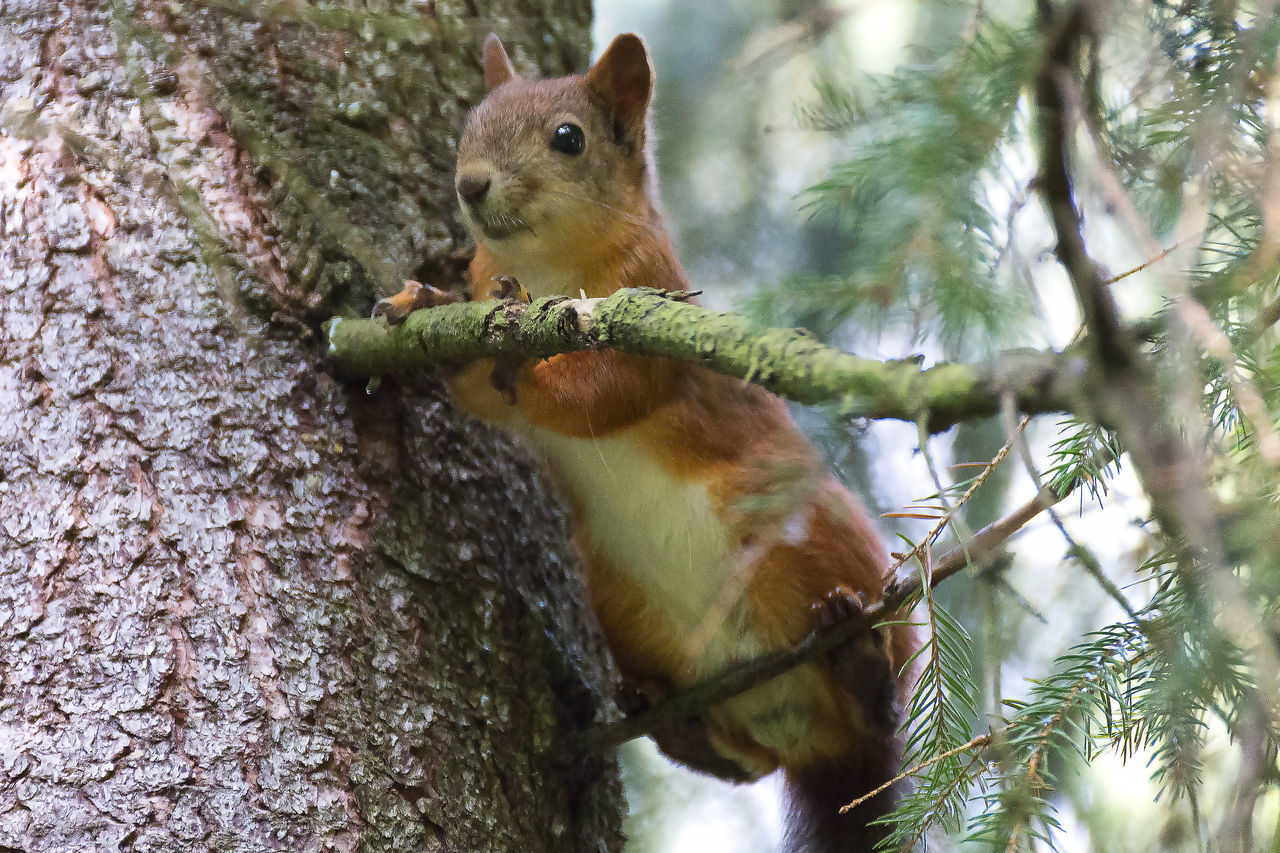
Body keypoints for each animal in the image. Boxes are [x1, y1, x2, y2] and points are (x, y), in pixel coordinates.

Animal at [373, 31, 916, 850]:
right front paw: (427, 300)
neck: (541, 266)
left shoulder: (650, 306)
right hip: (620, 599)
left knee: (878, 717)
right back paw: (686, 729)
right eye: (469, 123)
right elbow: (481, 389)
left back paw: (863, 671)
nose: (470, 185)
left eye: (569, 138)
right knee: (751, 762)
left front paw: (514, 357)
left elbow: (602, 394)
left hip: (814, 530)